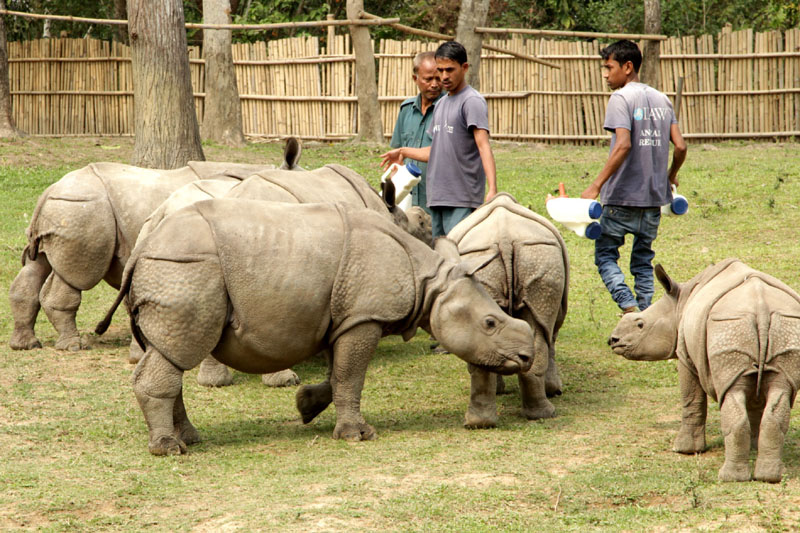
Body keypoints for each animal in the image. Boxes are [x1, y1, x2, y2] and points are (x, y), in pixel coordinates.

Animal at [8, 138, 302, 352]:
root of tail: (49, 190)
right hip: (84, 209)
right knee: (76, 276)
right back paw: (73, 346)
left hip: (65, 208)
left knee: (39, 264)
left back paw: (26, 345)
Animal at [96, 200, 536, 455]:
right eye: (490, 322)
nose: (527, 356)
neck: (429, 281)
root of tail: (145, 242)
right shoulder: (364, 316)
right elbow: (351, 374)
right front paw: (358, 436)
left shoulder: (340, 315)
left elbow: (337, 372)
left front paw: (306, 406)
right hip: (185, 268)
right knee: (177, 353)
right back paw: (170, 449)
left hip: (173, 268)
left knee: (167, 351)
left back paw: (189, 438)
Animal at [444, 193, 569, 427]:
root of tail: (504, 237)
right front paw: (554, 389)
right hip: (536, 255)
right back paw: (541, 414)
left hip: (498, 258)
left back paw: (479, 423)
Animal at [609, 259, 800, 482]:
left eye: (640, 324)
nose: (613, 340)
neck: (679, 302)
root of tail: (761, 308)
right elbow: (755, 404)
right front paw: (753, 447)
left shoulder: (685, 355)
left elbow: (691, 399)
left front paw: (684, 450)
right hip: (783, 325)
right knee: (779, 393)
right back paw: (770, 477)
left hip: (728, 325)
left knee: (731, 394)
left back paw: (729, 478)